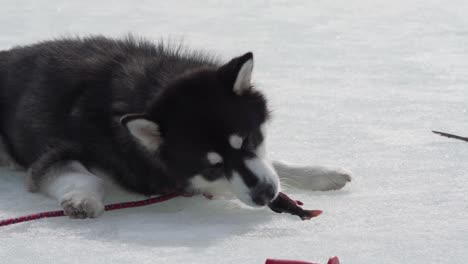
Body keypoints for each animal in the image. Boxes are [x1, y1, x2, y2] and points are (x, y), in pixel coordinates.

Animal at [0, 36, 352, 219]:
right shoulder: (57, 153)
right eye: (213, 167)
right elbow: (84, 177)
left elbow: (276, 163)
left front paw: (319, 173)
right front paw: (82, 199)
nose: (265, 194)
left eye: (250, 140)